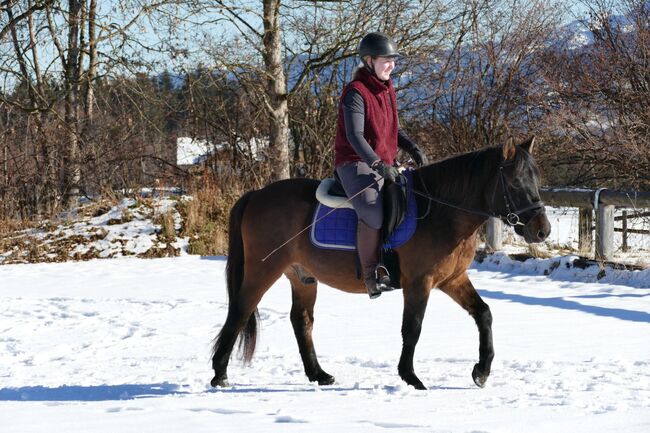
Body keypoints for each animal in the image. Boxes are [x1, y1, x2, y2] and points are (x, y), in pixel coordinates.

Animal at [210, 136, 551, 390]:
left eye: (537, 178)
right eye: (515, 183)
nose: (543, 230)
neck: (440, 211)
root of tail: (256, 194)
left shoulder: (452, 279)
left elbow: (484, 314)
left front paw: (481, 371)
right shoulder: (419, 282)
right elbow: (413, 327)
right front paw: (411, 378)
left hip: (302, 276)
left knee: (301, 321)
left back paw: (318, 375)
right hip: (262, 270)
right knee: (240, 311)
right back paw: (220, 375)